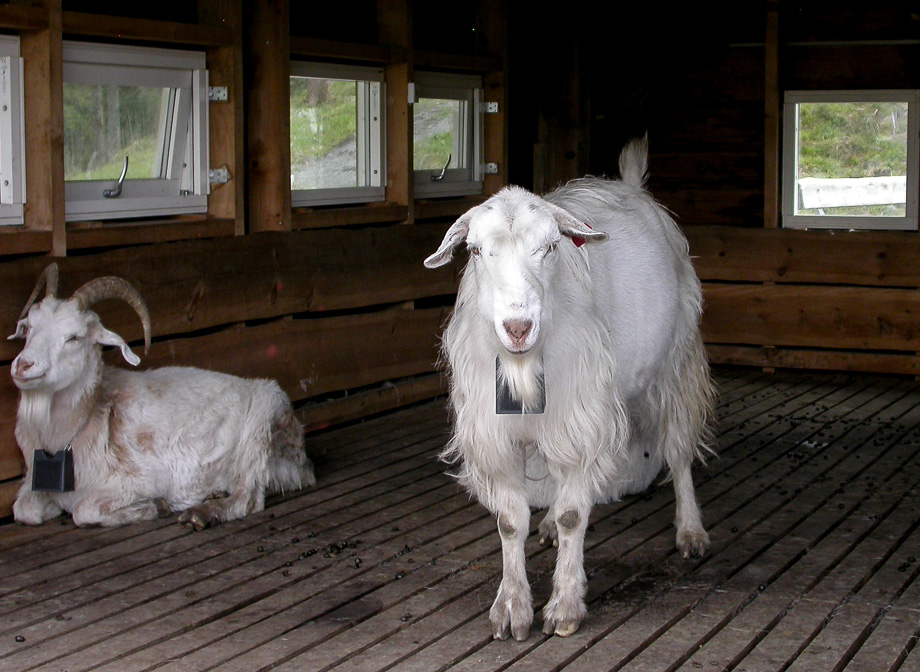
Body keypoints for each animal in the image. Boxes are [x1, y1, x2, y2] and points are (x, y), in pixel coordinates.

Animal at [7, 264, 316, 532]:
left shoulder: (139, 480)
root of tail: (303, 464)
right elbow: (23, 510)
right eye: (29, 327)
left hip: (261, 426)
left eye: (74, 337)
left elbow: (84, 511)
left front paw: (155, 506)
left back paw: (201, 514)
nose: (24, 365)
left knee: (248, 498)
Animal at [426, 136, 720, 640]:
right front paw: (511, 607)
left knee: (678, 449)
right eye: (477, 250)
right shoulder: (495, 434)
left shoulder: (579, 420)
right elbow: (510, 522)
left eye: (549, 247)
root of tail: (629, 185)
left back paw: (690, 531)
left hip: (675, 363)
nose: (518, 326)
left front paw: (564, 607)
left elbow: (572, 514)